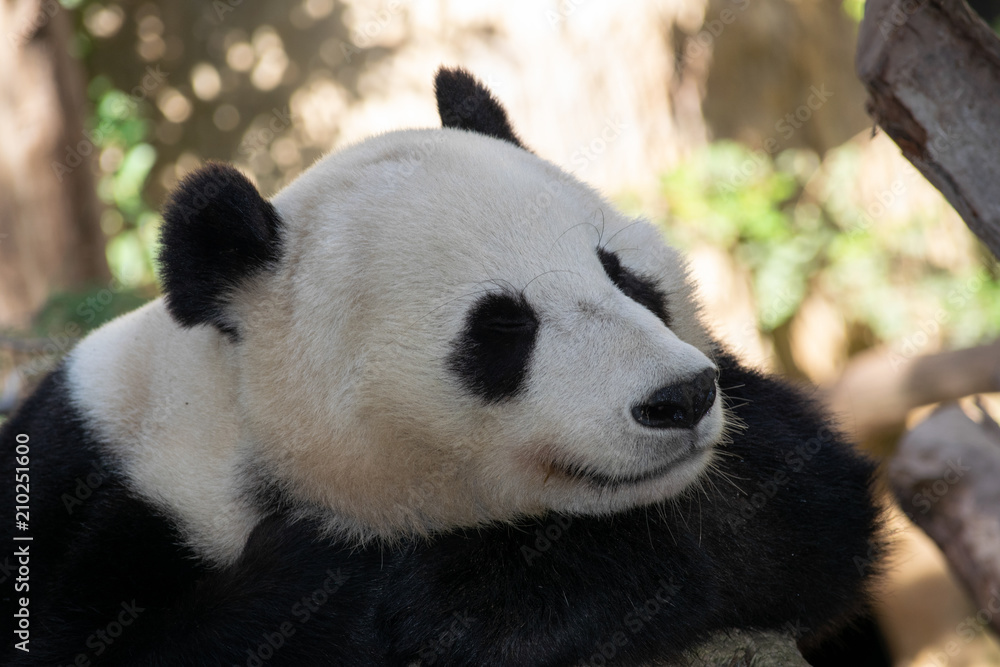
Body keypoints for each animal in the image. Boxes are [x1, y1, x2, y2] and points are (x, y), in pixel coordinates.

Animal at [1, 68, 882, 666]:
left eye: (624, 276)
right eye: (502, 327)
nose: (680, 397)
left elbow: (792, 509)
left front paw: (481, 601)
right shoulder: (93, 484)